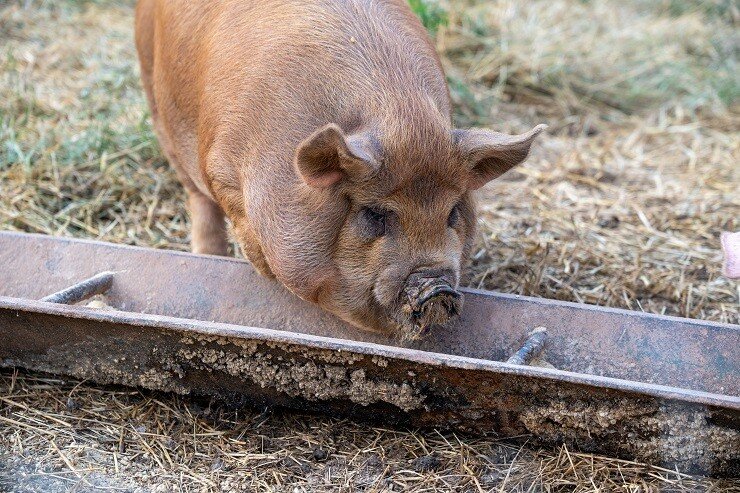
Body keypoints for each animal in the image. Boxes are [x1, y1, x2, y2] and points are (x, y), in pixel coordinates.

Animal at [134, 0, 544, 338]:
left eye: (453, 212)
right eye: (375, 214)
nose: (436, 284)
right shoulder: (222, 169)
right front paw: (262, 271)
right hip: (155, 95)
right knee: (195, 195)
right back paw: (210, 256)